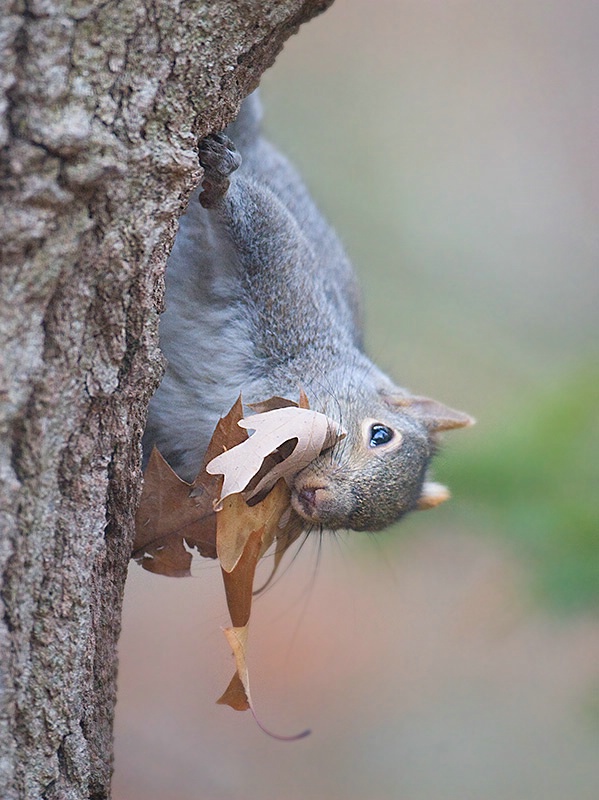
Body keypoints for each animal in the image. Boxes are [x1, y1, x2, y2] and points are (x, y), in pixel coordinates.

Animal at [143, 92, 476, 532]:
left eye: (358, 525)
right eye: (381, 434)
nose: (320, 501)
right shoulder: (287, 296)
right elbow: (263, 222)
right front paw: (222, 186)